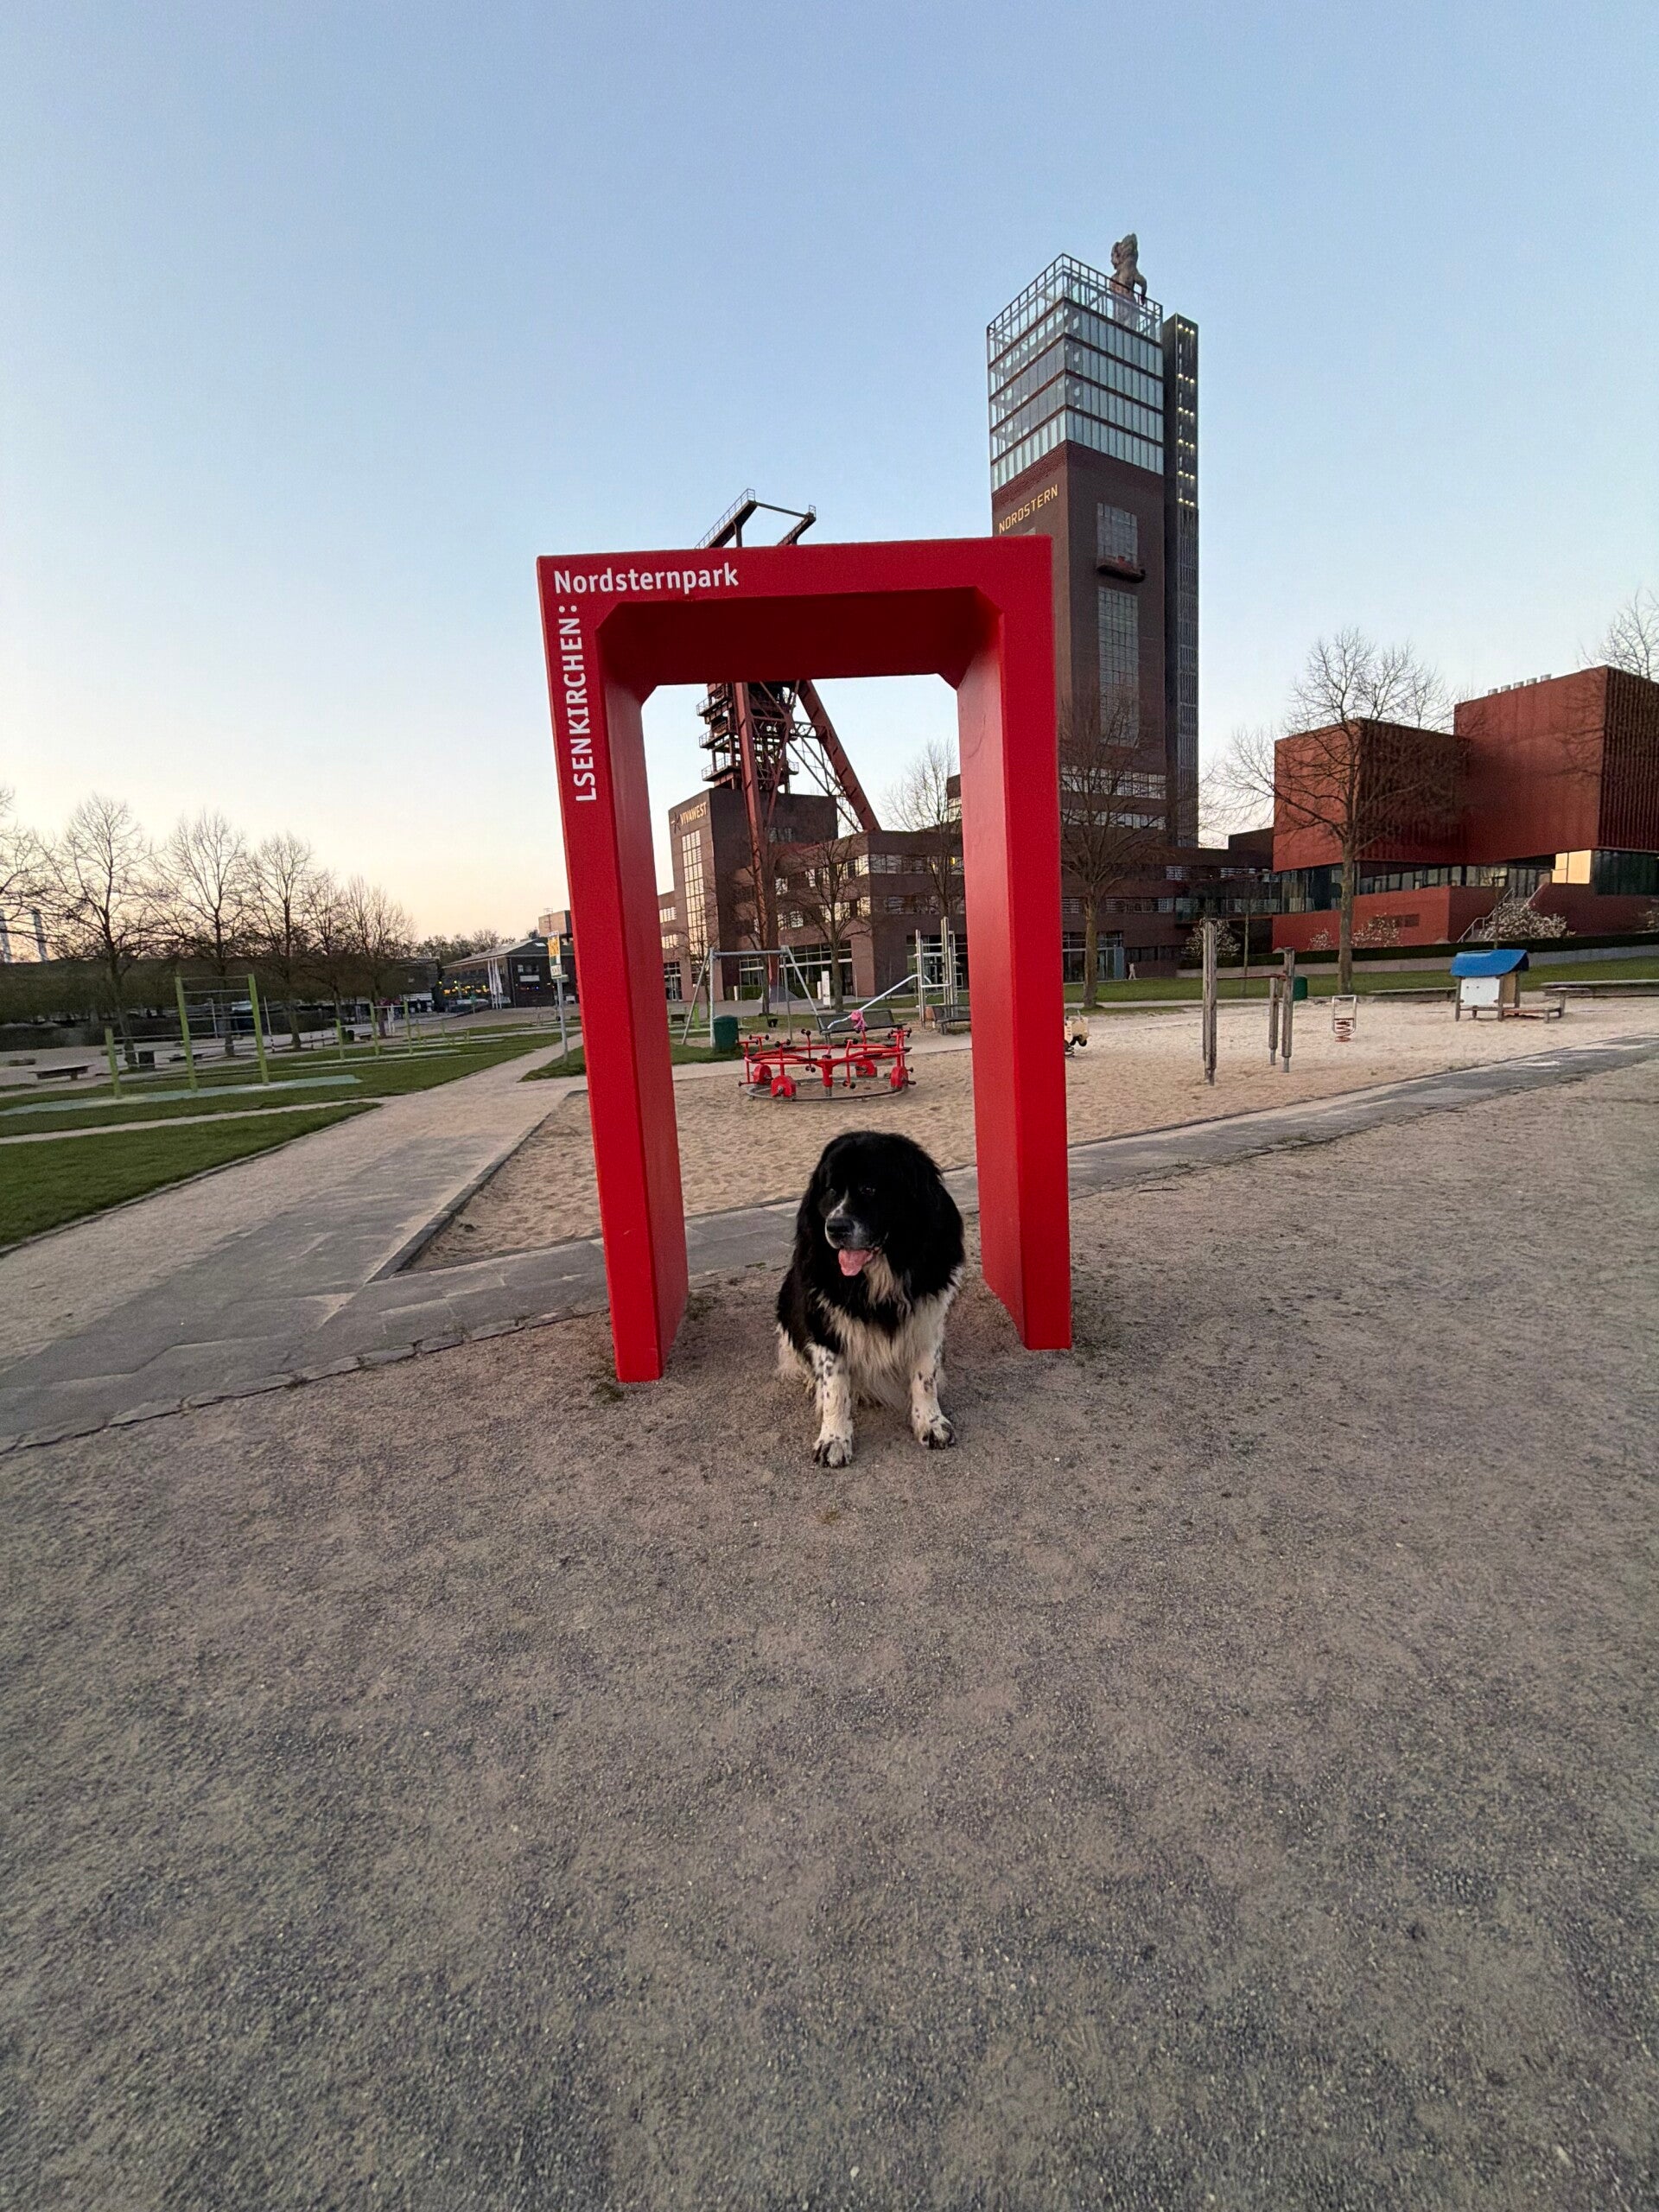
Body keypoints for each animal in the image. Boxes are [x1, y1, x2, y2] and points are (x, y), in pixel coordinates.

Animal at [776, 1129, 964, 1468]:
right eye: (831, 1190)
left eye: (869, 1188)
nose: (835, 1227)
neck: (881, 1270)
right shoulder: (826, 1322)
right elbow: (835, 1386)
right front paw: (834, 1438)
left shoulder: (927, 1318)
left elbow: (925, 1375)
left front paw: (930, 1422)